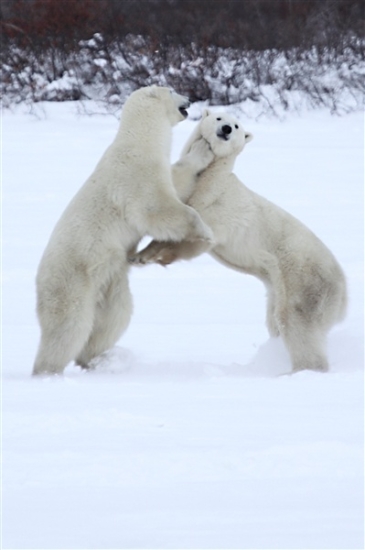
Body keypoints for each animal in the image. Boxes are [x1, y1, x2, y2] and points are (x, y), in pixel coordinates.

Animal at [32, 86, 213, 378]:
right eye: (171, 89)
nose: (190, 98)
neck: (139, 140)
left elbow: (177, 180)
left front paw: (202, 150)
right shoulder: (136, 175)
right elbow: (156, 209)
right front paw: (204, 230)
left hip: (109, 281)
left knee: (113, 318)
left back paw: (98, 359)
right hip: (72, 279)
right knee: (68, 328)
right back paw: (48, 372)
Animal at [129, 109, 346, 374]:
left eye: (236, 126)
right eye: (219, 118)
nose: (226, 130)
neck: (212, 178)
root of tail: (343, 294)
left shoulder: (216, 206)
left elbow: (195, 239)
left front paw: (149, 256)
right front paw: (141, 255)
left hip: (304, 280)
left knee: (296, 321)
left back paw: (298, 370)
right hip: (277, 288)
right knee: (275, 321)